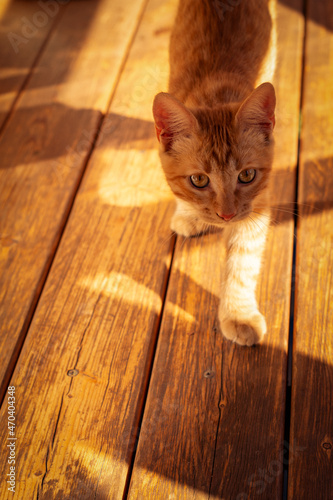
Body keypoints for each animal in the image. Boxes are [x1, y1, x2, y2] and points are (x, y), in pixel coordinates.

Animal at [153, 0, 274, 344]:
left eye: (246, 175)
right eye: (198, 180)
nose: (226, 215)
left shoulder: (256, 208)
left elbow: (241, 264)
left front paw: (238, 314)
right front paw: (189, 213)